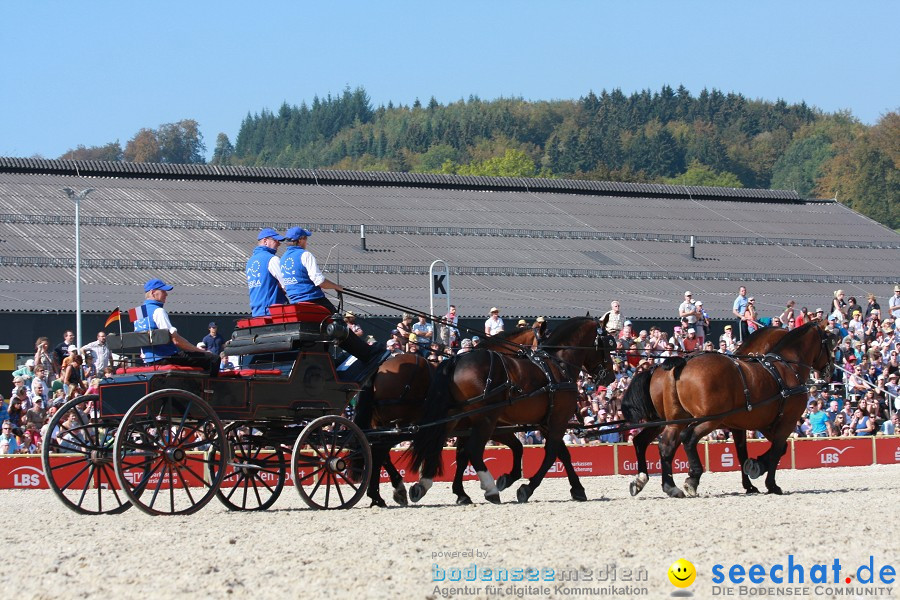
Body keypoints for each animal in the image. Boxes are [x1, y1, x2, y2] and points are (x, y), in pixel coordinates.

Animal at [406, 316, 612, 504]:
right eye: (609, 343)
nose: (609, 376)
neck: (558, 365)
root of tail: (456, 360)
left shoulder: (543, 423)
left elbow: (558, 453)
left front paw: (577, 489)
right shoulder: (557, 420)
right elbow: (551, 453)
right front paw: (526, 488)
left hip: (455, 417)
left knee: (437, 444)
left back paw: (425, 485)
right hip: (485, 419)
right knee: (474, 450)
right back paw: (490, 489)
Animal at [624, 322, 832, 500]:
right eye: (830, 340)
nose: (829, 372)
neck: (785, 369)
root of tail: (679, 364)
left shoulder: (752, 424)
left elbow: (747, 453)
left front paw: (752, 475)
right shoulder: (786, 422)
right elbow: (776, 451)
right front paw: (770, 483)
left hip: (672, 420)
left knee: (656, 444)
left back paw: (659, 483)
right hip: (708, 419)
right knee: (687, 439)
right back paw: (691, 478)